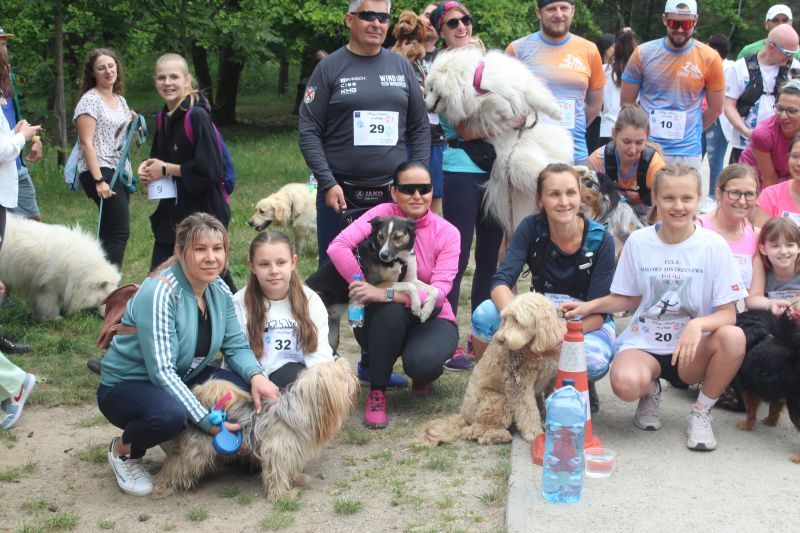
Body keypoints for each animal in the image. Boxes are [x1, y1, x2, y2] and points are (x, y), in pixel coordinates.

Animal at [154, 358, 359, 499]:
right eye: (341, 375)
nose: (352, 373)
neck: (300, 409)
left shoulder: (291, 449)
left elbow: (290, 467)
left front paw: (297, 478)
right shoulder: (277, 450)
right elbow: (277, 473)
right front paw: (283, 495)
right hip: (196, 450)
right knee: (176, 464)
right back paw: (161, 486)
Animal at [306, 216, 440, 352]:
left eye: (397, 237)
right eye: (381, 236)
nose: (383, 255)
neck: (398, 259)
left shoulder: (411, 278)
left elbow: (435, 290)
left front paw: (426, 311)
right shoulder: (375, 284)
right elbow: (410, 286)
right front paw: (416, 306)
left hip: (331, 335)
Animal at [415, 292, 565, 446]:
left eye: (517, 320)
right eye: (506, 318)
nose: (500, 339)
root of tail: (464, 416)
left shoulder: (552, 377)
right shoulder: (519, 385)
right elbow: (528, 411)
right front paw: (534, 433)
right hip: (497, 401)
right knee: (474, 430)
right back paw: (498, 435)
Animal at [425, 48, 573, 234]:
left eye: (431, 88)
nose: (425, 104)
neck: (473, 83)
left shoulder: (516, 84)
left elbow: (536, 97)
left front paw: (557, 112)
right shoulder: (479, 108)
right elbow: (495, 101)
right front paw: (508, 112)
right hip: (516, 162)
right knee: (544, 169)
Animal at [734, 302, 800, 463]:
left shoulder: (749, 389)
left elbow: (750, 411)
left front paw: (746, 425)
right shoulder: (777, 393)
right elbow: (774, 409)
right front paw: (770, 421)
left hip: (795, 407)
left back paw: (797, 457)